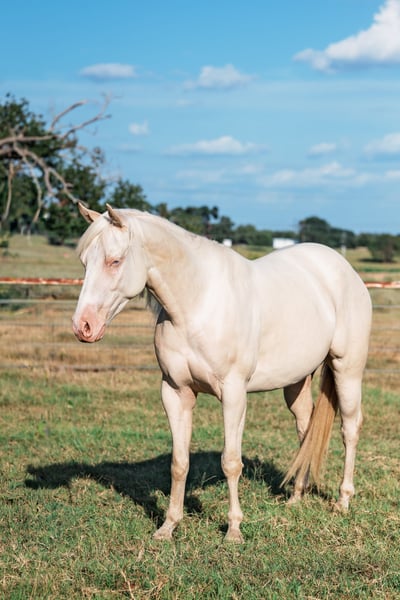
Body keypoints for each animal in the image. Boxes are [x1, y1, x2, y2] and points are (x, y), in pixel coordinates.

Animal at [72, 203, 372, 542]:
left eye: (115, 261)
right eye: (85, 262)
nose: (83, 327)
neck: (196, 304)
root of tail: (344, 269)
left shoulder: (233, 393)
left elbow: (230, 461)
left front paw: (233, 531)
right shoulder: (175, 392)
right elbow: (179, 463)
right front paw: (168, 526)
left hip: (347, 369)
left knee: (350, 428)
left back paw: (343, 501)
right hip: (297, 381)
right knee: (305, 429)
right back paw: (296, 496)